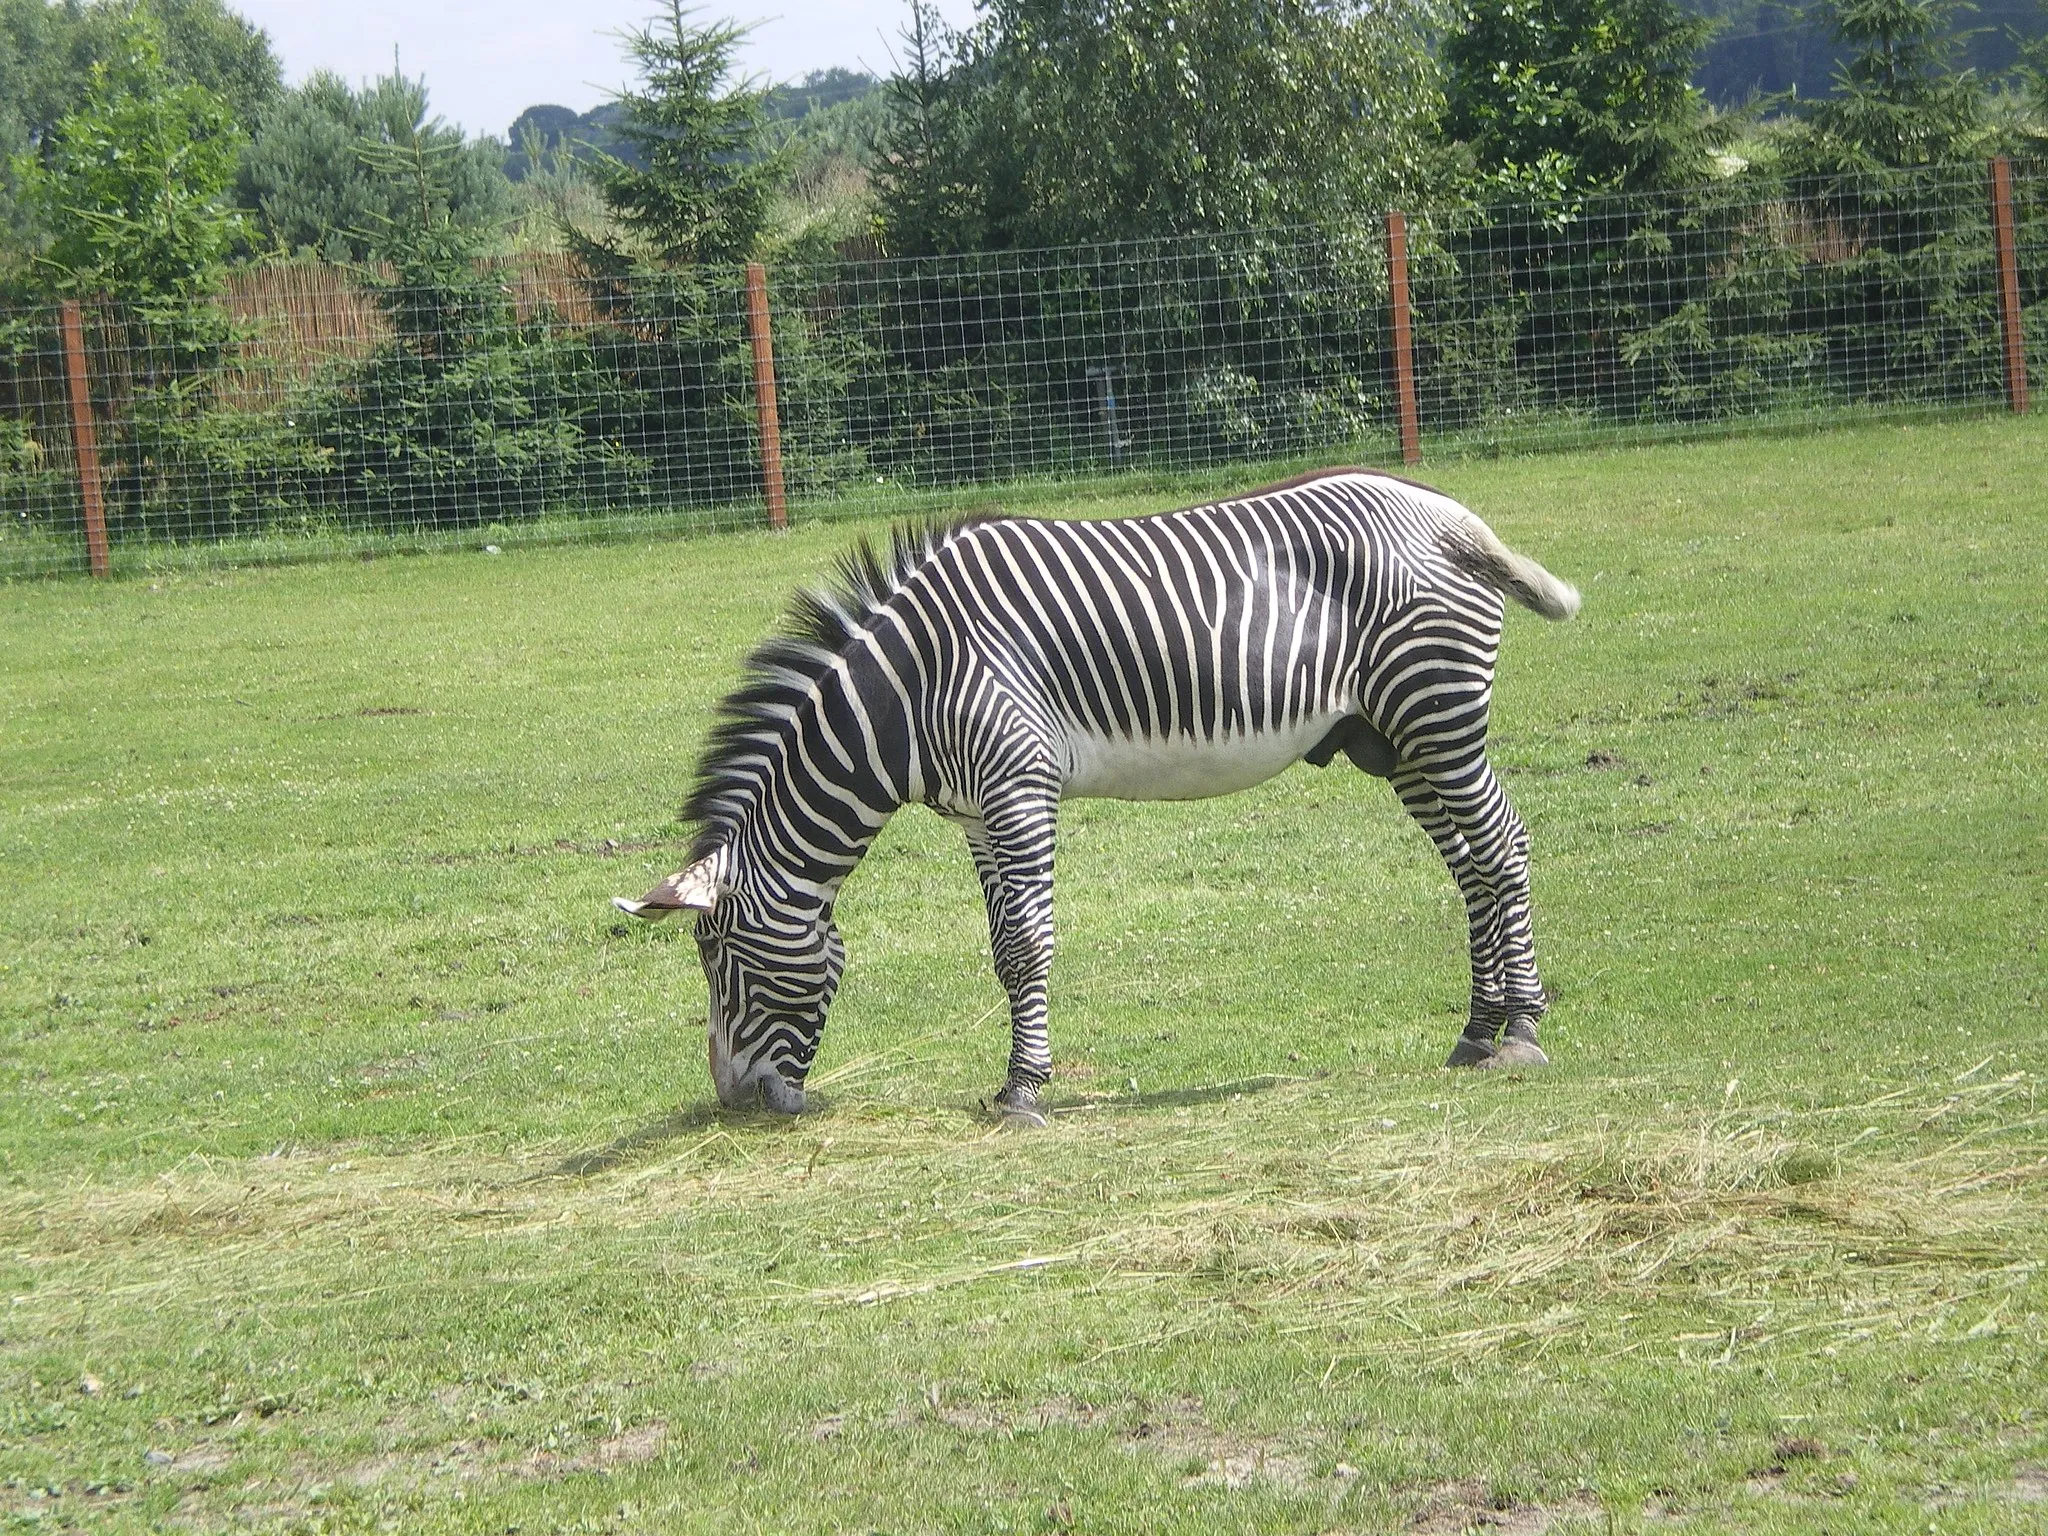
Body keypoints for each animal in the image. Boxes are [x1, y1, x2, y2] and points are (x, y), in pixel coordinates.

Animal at [614, 462, 1572, 1122]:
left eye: (720, 961)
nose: (735, 1103)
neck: (909, 691)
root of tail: (1451, 513)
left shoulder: (1018, 784)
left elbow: (1026, 942)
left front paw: (1024, 1093)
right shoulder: (975, 813)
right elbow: (1001, 945)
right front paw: (1016, 1082)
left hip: (1436, 711)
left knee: (1502, 847)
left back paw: (1523, 1032)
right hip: (1396, 740)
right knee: (1470, 868)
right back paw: (1477, 1032)